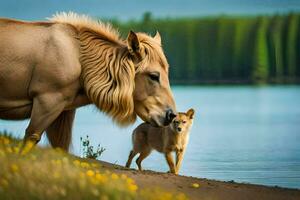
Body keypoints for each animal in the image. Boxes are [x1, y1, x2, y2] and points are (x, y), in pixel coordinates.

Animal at [0, 11, 176, 151]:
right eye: (154, 75)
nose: (171, 115)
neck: (81, 63)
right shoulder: (46, 101)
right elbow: (30, 139)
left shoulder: (63, 111)